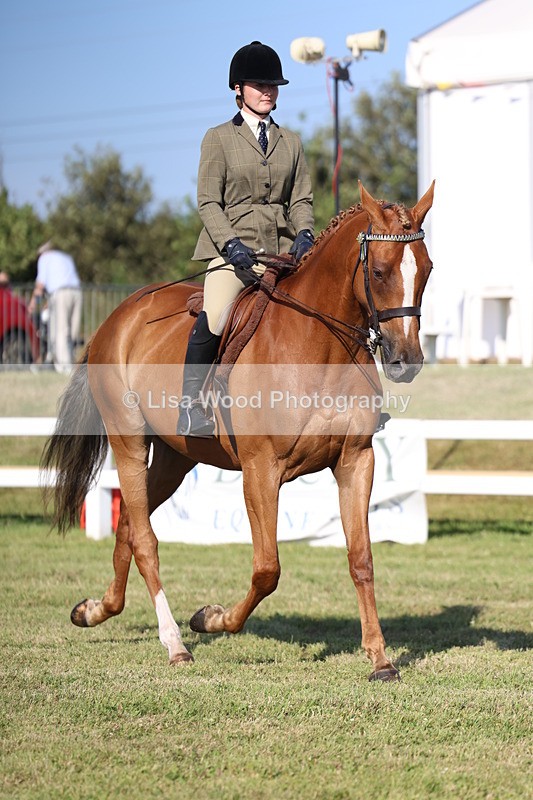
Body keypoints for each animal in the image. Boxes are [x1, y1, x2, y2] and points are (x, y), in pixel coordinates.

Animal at [43, 181, 434, 682]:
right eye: (380, 272)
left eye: (426, 271)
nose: (406, 361)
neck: (320, 348)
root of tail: (119, 315)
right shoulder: (260, 470)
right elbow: (267, 569)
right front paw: (211, 619)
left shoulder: (355, 461)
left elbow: (361, 558)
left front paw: (380, 658)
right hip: (128, 440)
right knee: (146, 539)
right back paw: (175, 642)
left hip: (175, 457)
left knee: (130, 524)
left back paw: (96, 610)